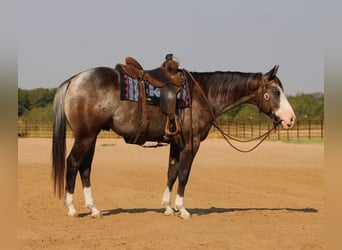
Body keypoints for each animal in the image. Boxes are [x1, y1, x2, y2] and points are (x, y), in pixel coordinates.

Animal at [52, 63, 296, 219]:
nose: (291, 119)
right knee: (73, 163)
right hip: (85, 136)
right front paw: (182, 209)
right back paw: (72, 208)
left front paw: (168, 208)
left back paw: (93, 209)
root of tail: (74, 80)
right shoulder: (191, 143)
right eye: (276, 92)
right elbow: (184, 174)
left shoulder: (176, 144)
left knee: (85, 168)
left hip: (91, 137)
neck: (203, 94)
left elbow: (172, 172)